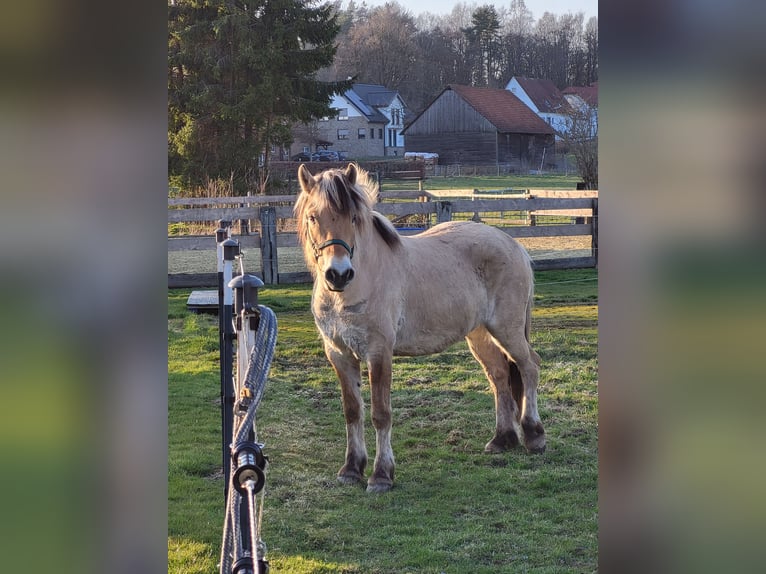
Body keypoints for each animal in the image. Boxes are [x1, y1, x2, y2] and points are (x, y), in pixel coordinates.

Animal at [295, 163, 544, 493]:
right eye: (313, 217)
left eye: (354, 218)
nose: (338, 274)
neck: (352, 290)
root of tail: (514, 245)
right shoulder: (339, 353)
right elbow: (352, 411)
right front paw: (351, 469)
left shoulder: (378, 353)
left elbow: (380, 414)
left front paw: (381, 475)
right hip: (479, 334)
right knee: (499, 375)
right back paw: (502, 440)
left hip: (507, 329)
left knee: (529, 367)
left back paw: (534, 435)